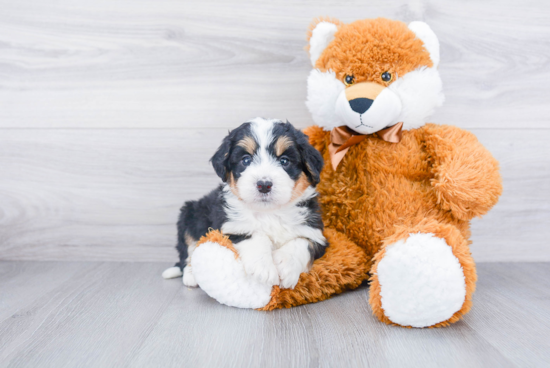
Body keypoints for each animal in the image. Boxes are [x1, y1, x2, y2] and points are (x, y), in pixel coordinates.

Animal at [163, 117, 328, 288]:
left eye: (284, 161)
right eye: (246, 160)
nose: (264, 185)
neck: (269, 213)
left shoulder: (316, 233)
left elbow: (302, 242)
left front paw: (285, 265)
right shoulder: (229, 227)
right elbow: (254, 235)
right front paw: (264, 269)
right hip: (190, 214)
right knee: (188, 251)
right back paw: (191, 275)